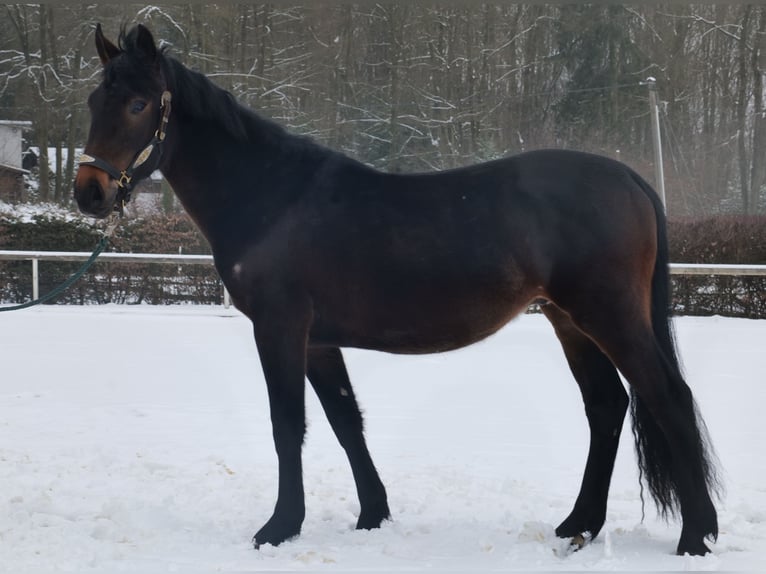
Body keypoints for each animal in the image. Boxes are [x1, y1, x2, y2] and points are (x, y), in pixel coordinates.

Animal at [74, 24, 720, 556]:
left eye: (138, 103)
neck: (272, 196)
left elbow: (288, 425)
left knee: (668, 397)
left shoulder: (280, 328)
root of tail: (631, 178)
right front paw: (372, 515)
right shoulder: (318, 341)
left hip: (608, 315)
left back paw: (695, 536)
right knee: (606, 406)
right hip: (569, 320)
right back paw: (578, 525)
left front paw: (279, 528)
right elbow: (344, 420)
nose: (89, 192)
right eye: (93, 101)